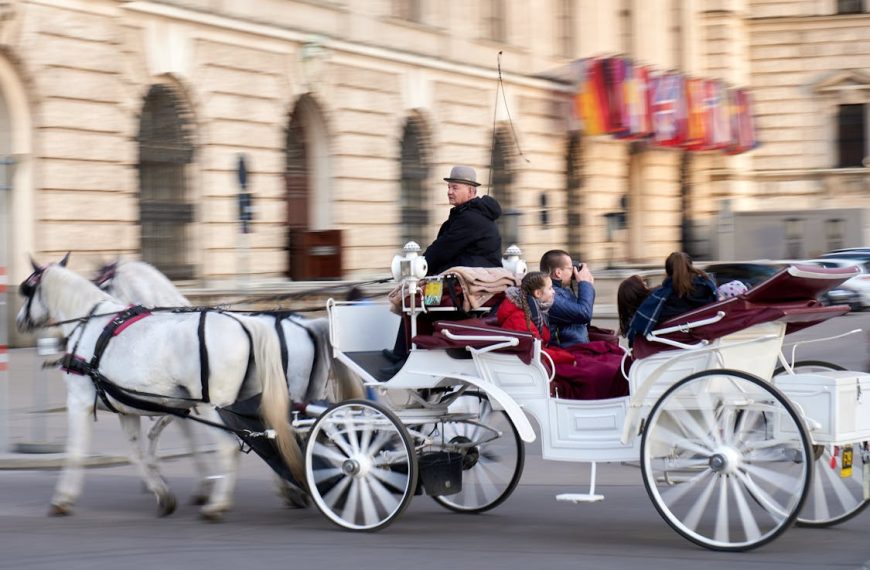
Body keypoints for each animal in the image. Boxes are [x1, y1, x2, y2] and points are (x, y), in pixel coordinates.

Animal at [16, 255, 306, 516]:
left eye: (28, 290)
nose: (19, 320)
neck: (91, 326)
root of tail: (246, 324)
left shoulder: (79, 402)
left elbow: (76, 451)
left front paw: (62, 498)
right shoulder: (129, 408)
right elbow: (137, 453)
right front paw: (162, 492)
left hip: (214, 407)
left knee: (230, 446)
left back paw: (218, 504)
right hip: (250, 401)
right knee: (272, 436)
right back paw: (288, 486)